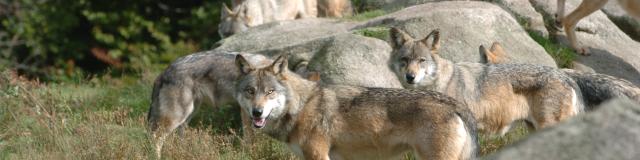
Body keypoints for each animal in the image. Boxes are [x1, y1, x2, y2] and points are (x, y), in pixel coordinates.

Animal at [148, 51, 320, 158]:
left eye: (270, 92)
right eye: (250, 91)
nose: (257, 112)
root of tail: (165, 71)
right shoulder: (246, 112)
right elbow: (250, 141)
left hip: (187, 116)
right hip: (176, 117)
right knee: (154, 138)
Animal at [232, 54, 478, 159]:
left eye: (270, 92)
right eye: (250, 91)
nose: (256, 112)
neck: (300, 107)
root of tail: (455, 105)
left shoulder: (318, 155)